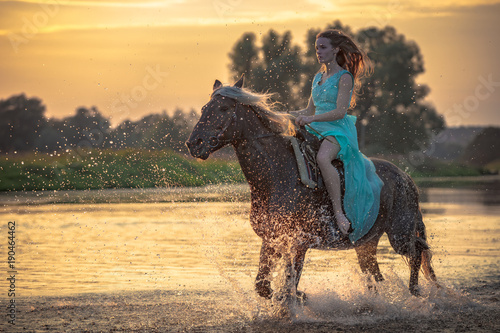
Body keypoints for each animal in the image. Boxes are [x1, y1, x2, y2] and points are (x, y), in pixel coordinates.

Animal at [187, 76, 438, 314]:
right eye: (204, 108)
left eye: (223, 108)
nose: (193, 143)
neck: (277, 175)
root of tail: (406, 178)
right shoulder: (271, 239)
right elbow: (264, 286)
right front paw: (299, 298)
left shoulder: (299, 243)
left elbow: (288, 284)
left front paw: (296, 302)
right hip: (367, 243)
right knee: (376, 276)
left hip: (399, 234)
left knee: (418, 251)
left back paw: (419, 293)